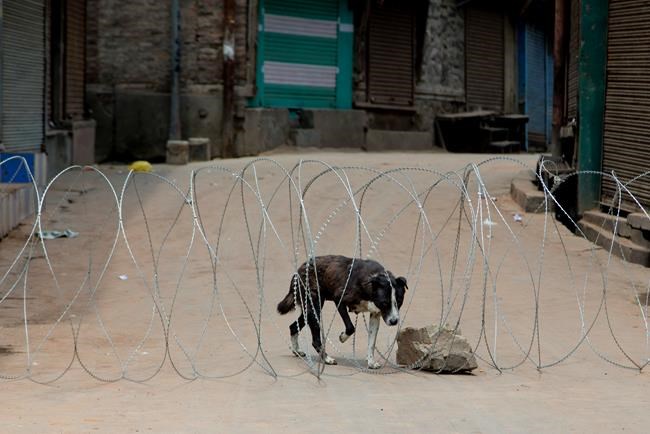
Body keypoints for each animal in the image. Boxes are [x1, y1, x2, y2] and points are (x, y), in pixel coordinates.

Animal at [276, 254, 408, 370]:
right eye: (384, 303)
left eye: (399, 301)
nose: (394, 321)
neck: (372, 282)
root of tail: (300, 269)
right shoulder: (339, 300)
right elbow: (350, 327)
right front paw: (342, 338)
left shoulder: (375, 315)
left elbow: (371, 343)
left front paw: (370, 362)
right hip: (315, 308)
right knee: (315, 340)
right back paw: (327, 359)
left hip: (310, 311)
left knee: (293, 327)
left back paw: (297, 351)